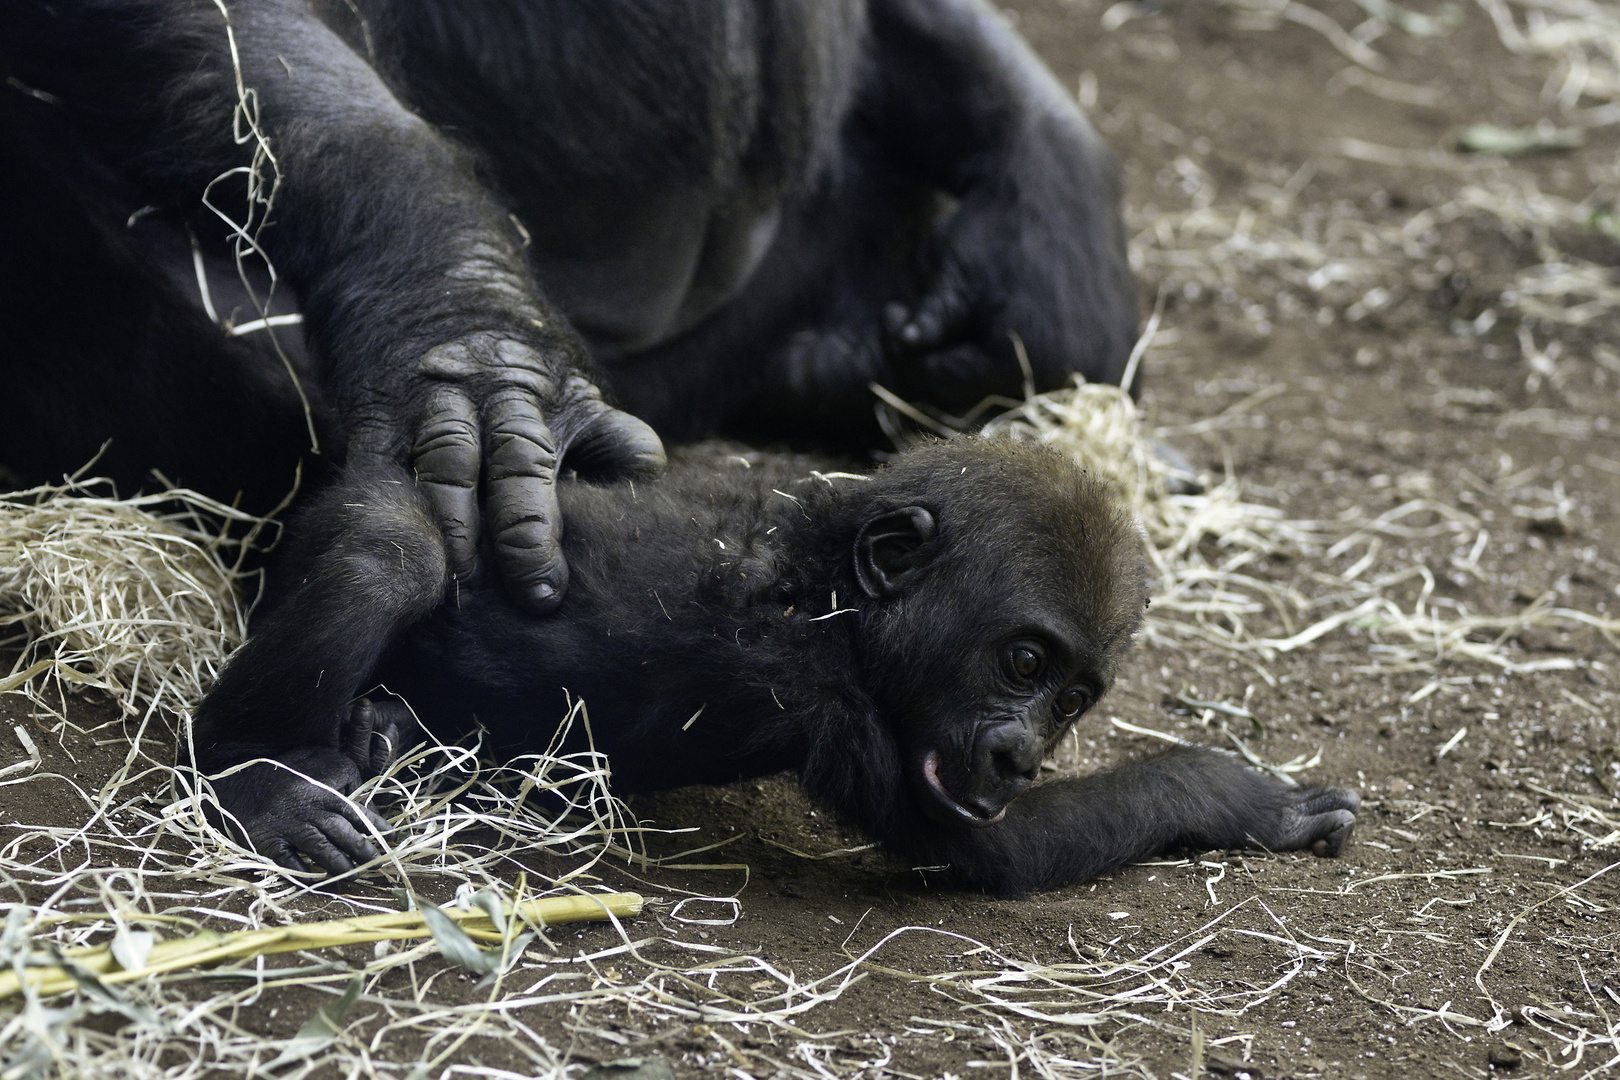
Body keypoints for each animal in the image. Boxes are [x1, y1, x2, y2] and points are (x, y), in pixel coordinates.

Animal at [186, 440, 1354, 893]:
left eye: (1072, 699)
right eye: (1021, 661)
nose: (1022, 755)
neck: (833, 586)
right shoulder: (818, 689)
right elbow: (987, 850)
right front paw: (1239, 794)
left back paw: (375, 732)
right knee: (389, 552)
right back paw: (260, 770)